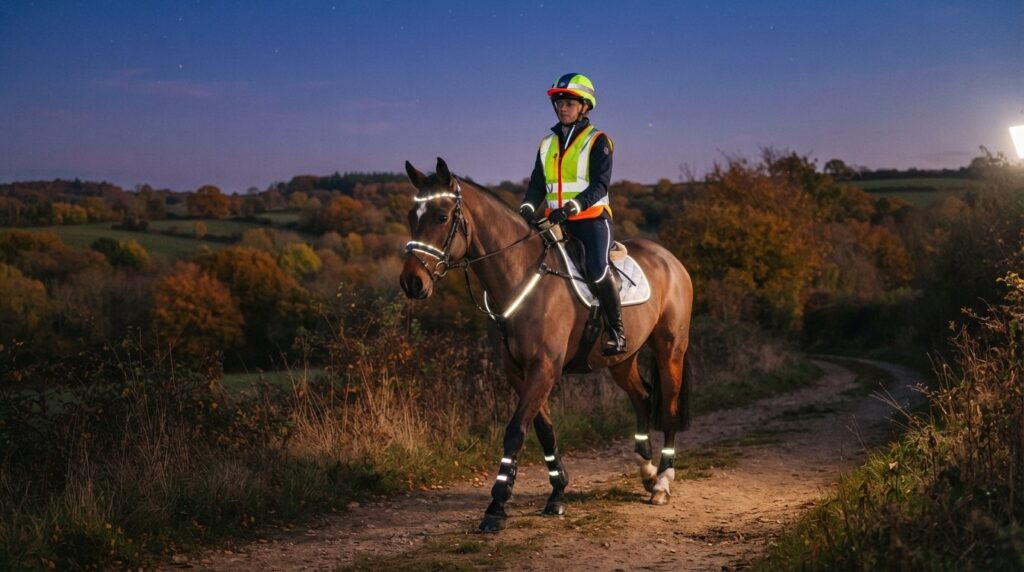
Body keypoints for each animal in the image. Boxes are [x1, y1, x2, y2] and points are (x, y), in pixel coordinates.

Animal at [399, 157, 694, 533]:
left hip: (670, 348)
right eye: (412, 216)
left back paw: (662, 483)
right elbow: (544, 431)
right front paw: (557, 494)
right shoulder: (520, 372)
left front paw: (497, 505)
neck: (521, 275)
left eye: (440, 217)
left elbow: (515, 431)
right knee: (642, 397)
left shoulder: (544, 369)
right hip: (621, 360)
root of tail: (671, 259)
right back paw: (647, 472)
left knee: (668, 407)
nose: (411, 282)